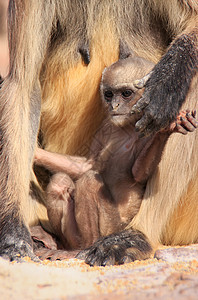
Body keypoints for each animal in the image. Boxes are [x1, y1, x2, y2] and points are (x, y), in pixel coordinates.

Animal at [33, 56, 197, 260]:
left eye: (126, 94)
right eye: (109, 94)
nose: (114, 106)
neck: (128, 128)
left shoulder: (147, 130)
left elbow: (138, 174)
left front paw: (166, 129)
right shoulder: (105, 126)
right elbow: (87, 166)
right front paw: (35, 153)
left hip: (112, 226)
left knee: (89, 182)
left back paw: (84, 248)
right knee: (60, 182)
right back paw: (66, 245)